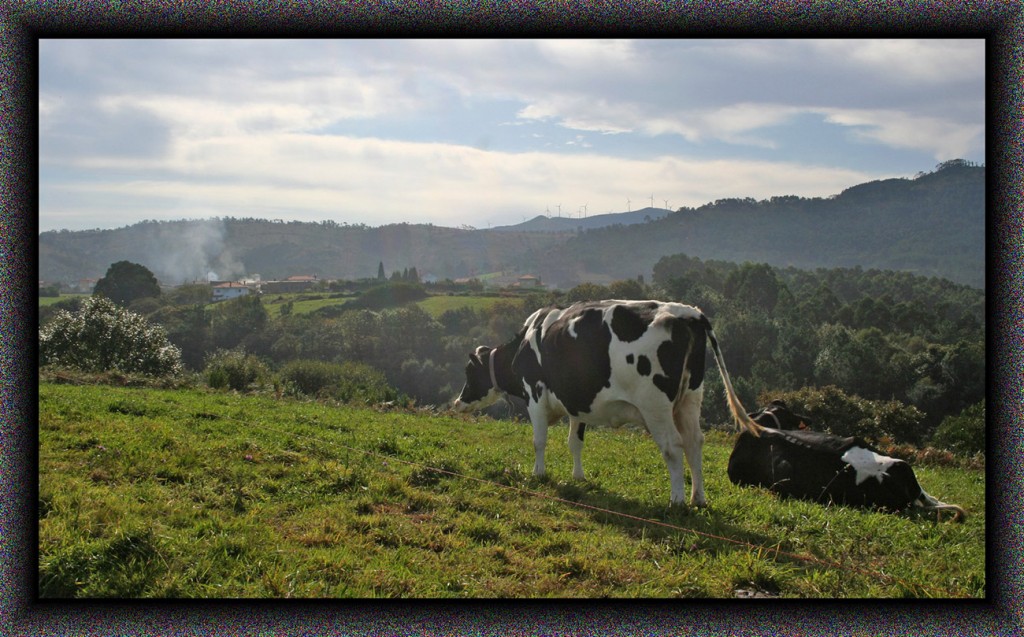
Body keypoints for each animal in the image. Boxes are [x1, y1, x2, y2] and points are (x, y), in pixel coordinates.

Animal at [454, 301, 761, 510]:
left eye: (469, 372)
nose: (457, 403)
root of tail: (688, 313)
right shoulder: (577, 402)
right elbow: (574, 442)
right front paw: (578, 477)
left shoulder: (536, 396)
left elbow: (538, 441)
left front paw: (538, 473)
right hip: (690, 399)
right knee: (695, 442)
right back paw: (698, 498)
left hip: (656, 406)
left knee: (673, 446)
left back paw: (677, 500)